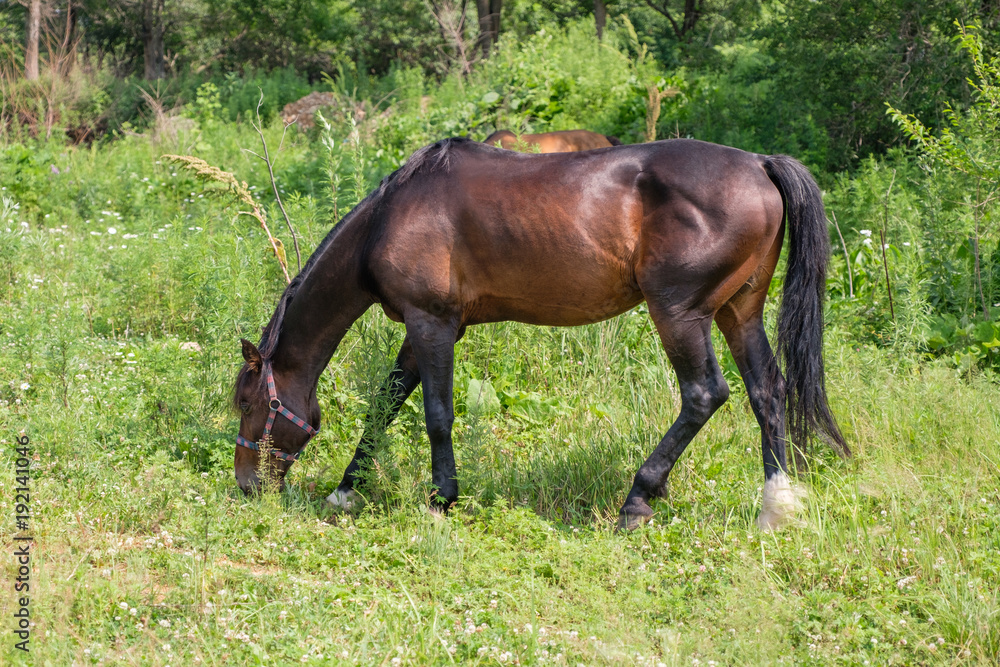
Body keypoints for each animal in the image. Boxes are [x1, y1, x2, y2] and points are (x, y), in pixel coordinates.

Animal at [236, 137, 852, 532]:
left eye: (246, 402)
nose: (246, 486)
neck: (389, 217)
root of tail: (760, 163)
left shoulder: (431, 323)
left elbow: (436, 413)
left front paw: (441, 499)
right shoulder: (426, 327)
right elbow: (387, 403)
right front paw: (347, 489)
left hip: (680, 314)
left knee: (704, 395)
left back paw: (637, 500)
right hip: (738, 312)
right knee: (767, 391)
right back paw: (776, 506)